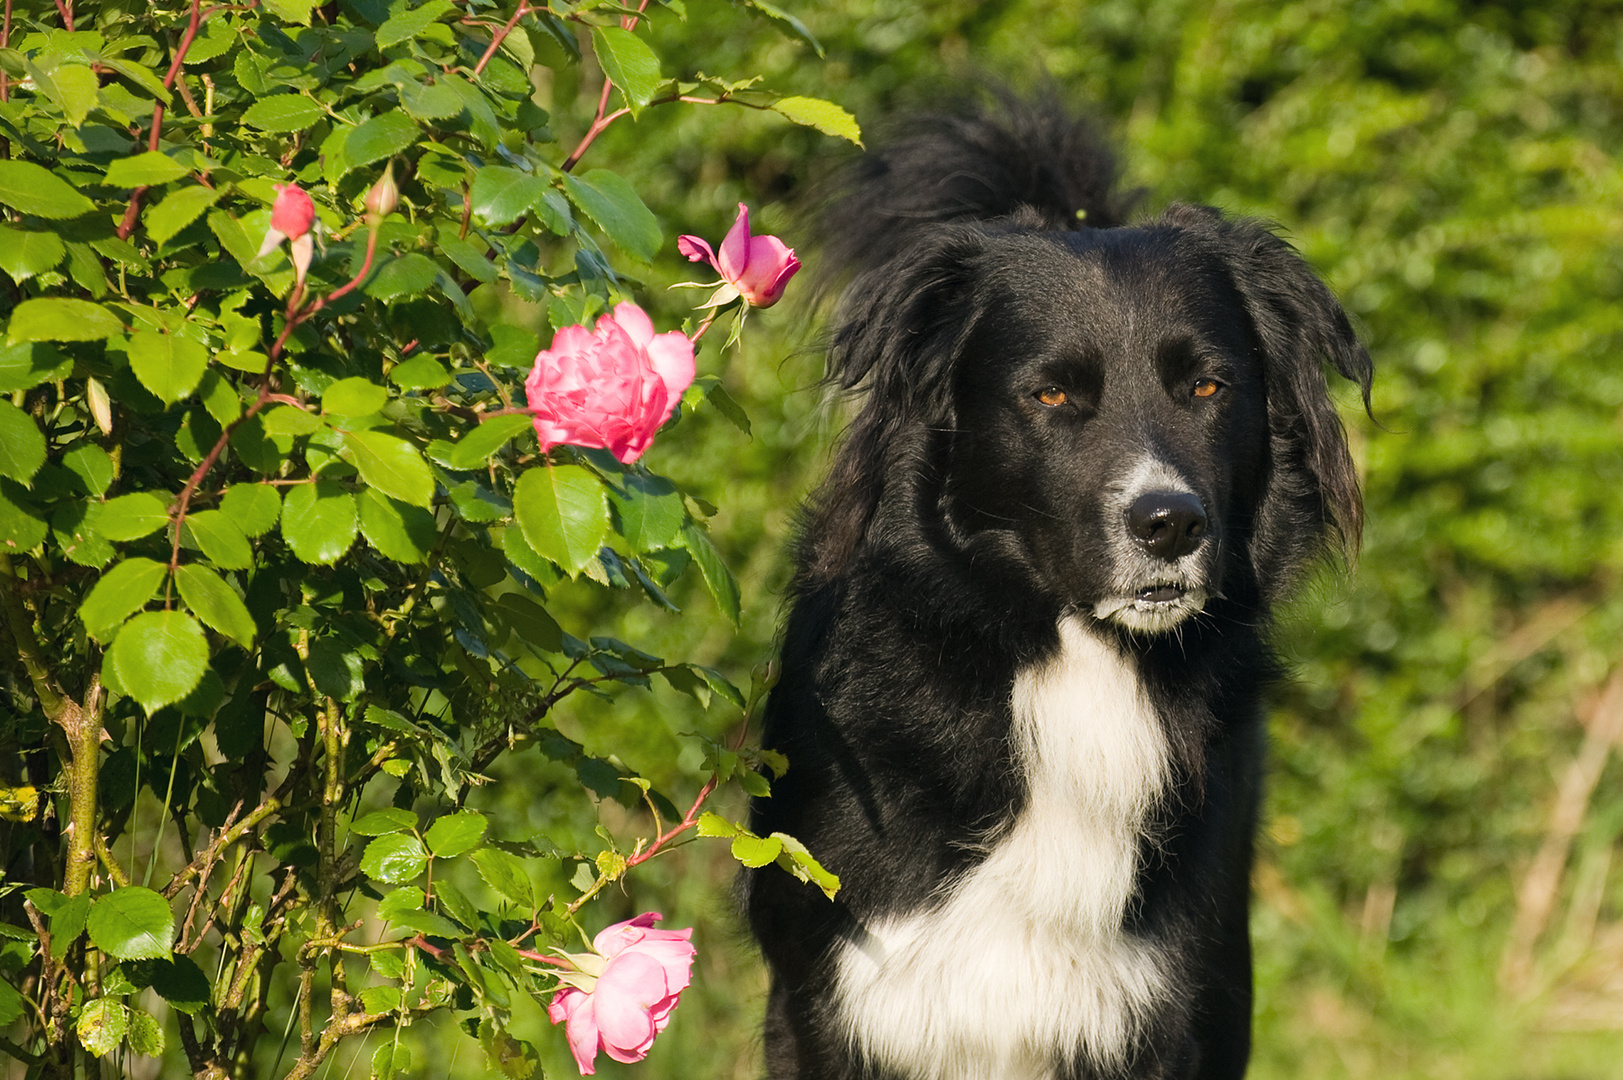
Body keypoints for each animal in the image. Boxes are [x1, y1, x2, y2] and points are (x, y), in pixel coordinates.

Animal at [743, 101, 1369, 1078]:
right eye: (1050, 395)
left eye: (1207, 385)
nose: (1170, 525)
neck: (1069, 663)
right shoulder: (839, 993)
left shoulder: (1173, 996)